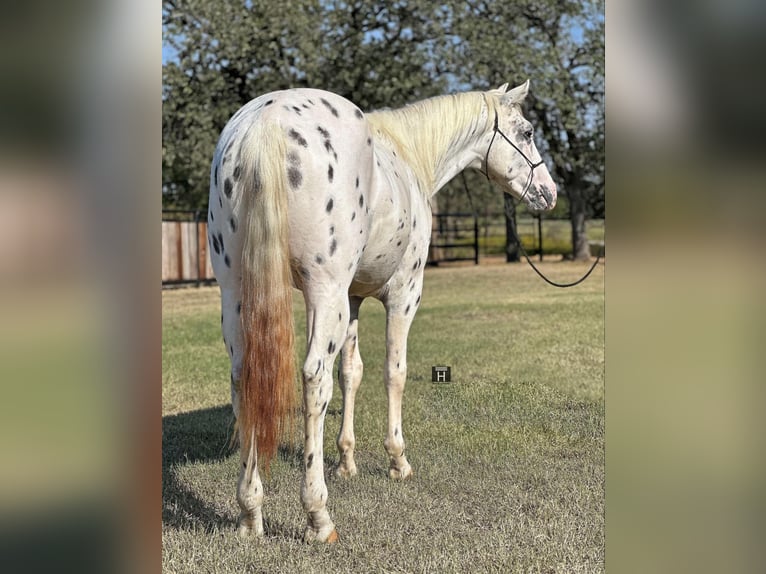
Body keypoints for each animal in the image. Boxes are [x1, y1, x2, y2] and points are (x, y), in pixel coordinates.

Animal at [206, 80, 557, 543]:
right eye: (528, 132)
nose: (550, 193)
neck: (408, 157)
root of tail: (266, 123)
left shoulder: (353, 299)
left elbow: (351, 373)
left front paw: (347, 462)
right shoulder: (404, 294)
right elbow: (394, 372)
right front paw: (397, 461)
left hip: (238, 293)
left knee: (243, 378)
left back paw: (250, 512)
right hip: (324, 292)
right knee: (314, 378)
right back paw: (318, 516)